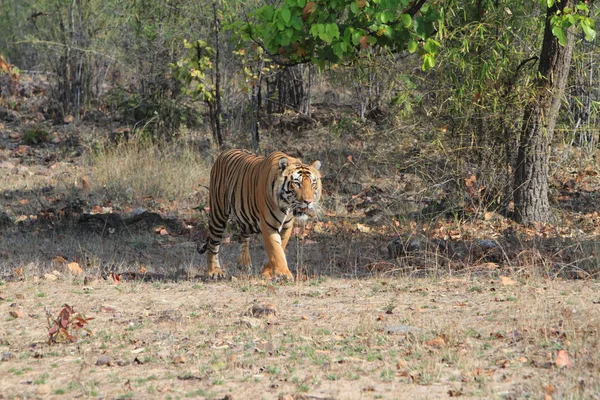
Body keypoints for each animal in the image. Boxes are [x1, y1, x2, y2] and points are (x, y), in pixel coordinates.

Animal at [198, 148, 322, 280]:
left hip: (246, 217)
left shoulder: (287, 226)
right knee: (213, 244)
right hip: (218, 213)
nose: (308, 202)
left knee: (243, 235)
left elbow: (280, 247)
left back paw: (244, 264)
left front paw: (267, 273)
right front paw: (283, 273)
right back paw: (215, 271)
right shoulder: (268, 225)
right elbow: (275, 250)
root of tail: (224, 153)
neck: (286, 206)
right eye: (297, 184)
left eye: (313, 184)